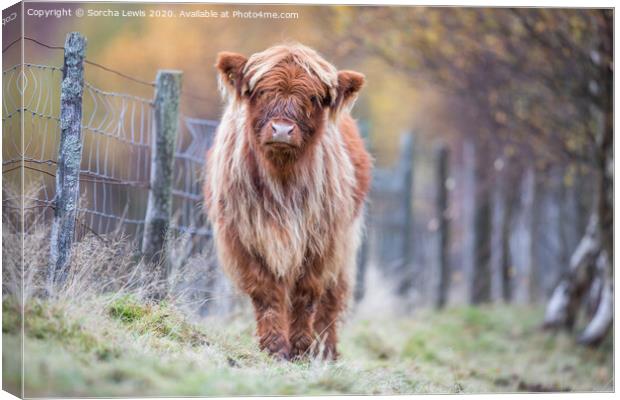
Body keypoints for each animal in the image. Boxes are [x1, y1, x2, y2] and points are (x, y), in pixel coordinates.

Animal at [206, 43, 372, 360]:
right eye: (261, 91)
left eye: (314, 97)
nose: (282, 130)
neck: (282, 179)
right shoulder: (245, 237)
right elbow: (266, 292)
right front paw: (274, 346)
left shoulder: (322, 241)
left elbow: (306, 294)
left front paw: (301, 348)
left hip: (345, 242)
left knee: (333, 296)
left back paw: (326, 350)